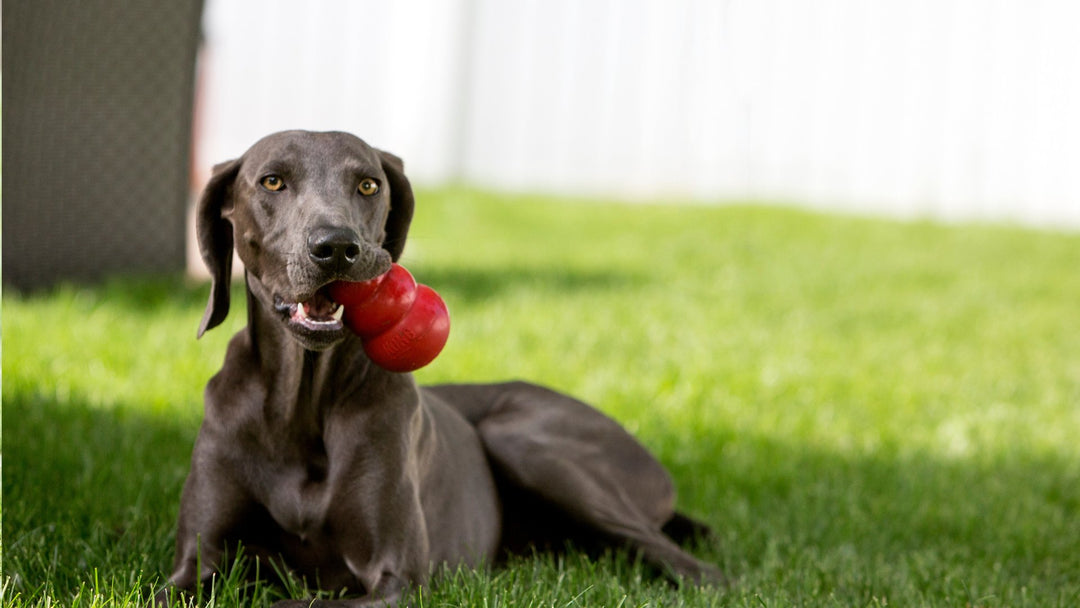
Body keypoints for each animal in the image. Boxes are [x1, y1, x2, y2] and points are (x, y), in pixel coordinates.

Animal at [162, 130, 725, 604]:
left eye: (368, 184)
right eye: (272, 181)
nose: (336, 247)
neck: (301, 406)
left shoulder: (397, 578)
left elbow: (301, 601)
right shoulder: (196, 564)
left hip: (525, 439)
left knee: (696, 567)